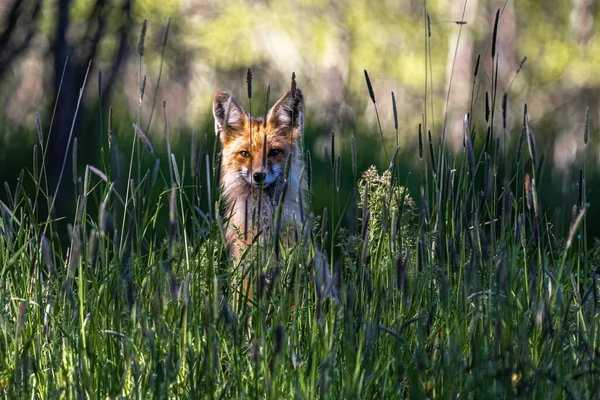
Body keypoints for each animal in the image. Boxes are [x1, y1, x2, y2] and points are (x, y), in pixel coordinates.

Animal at [212, 86, 338, 302]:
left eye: (274, 152)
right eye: (245, 154)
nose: (259, 175)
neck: (265, 223)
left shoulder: (293, 268)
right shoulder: (246, 269)